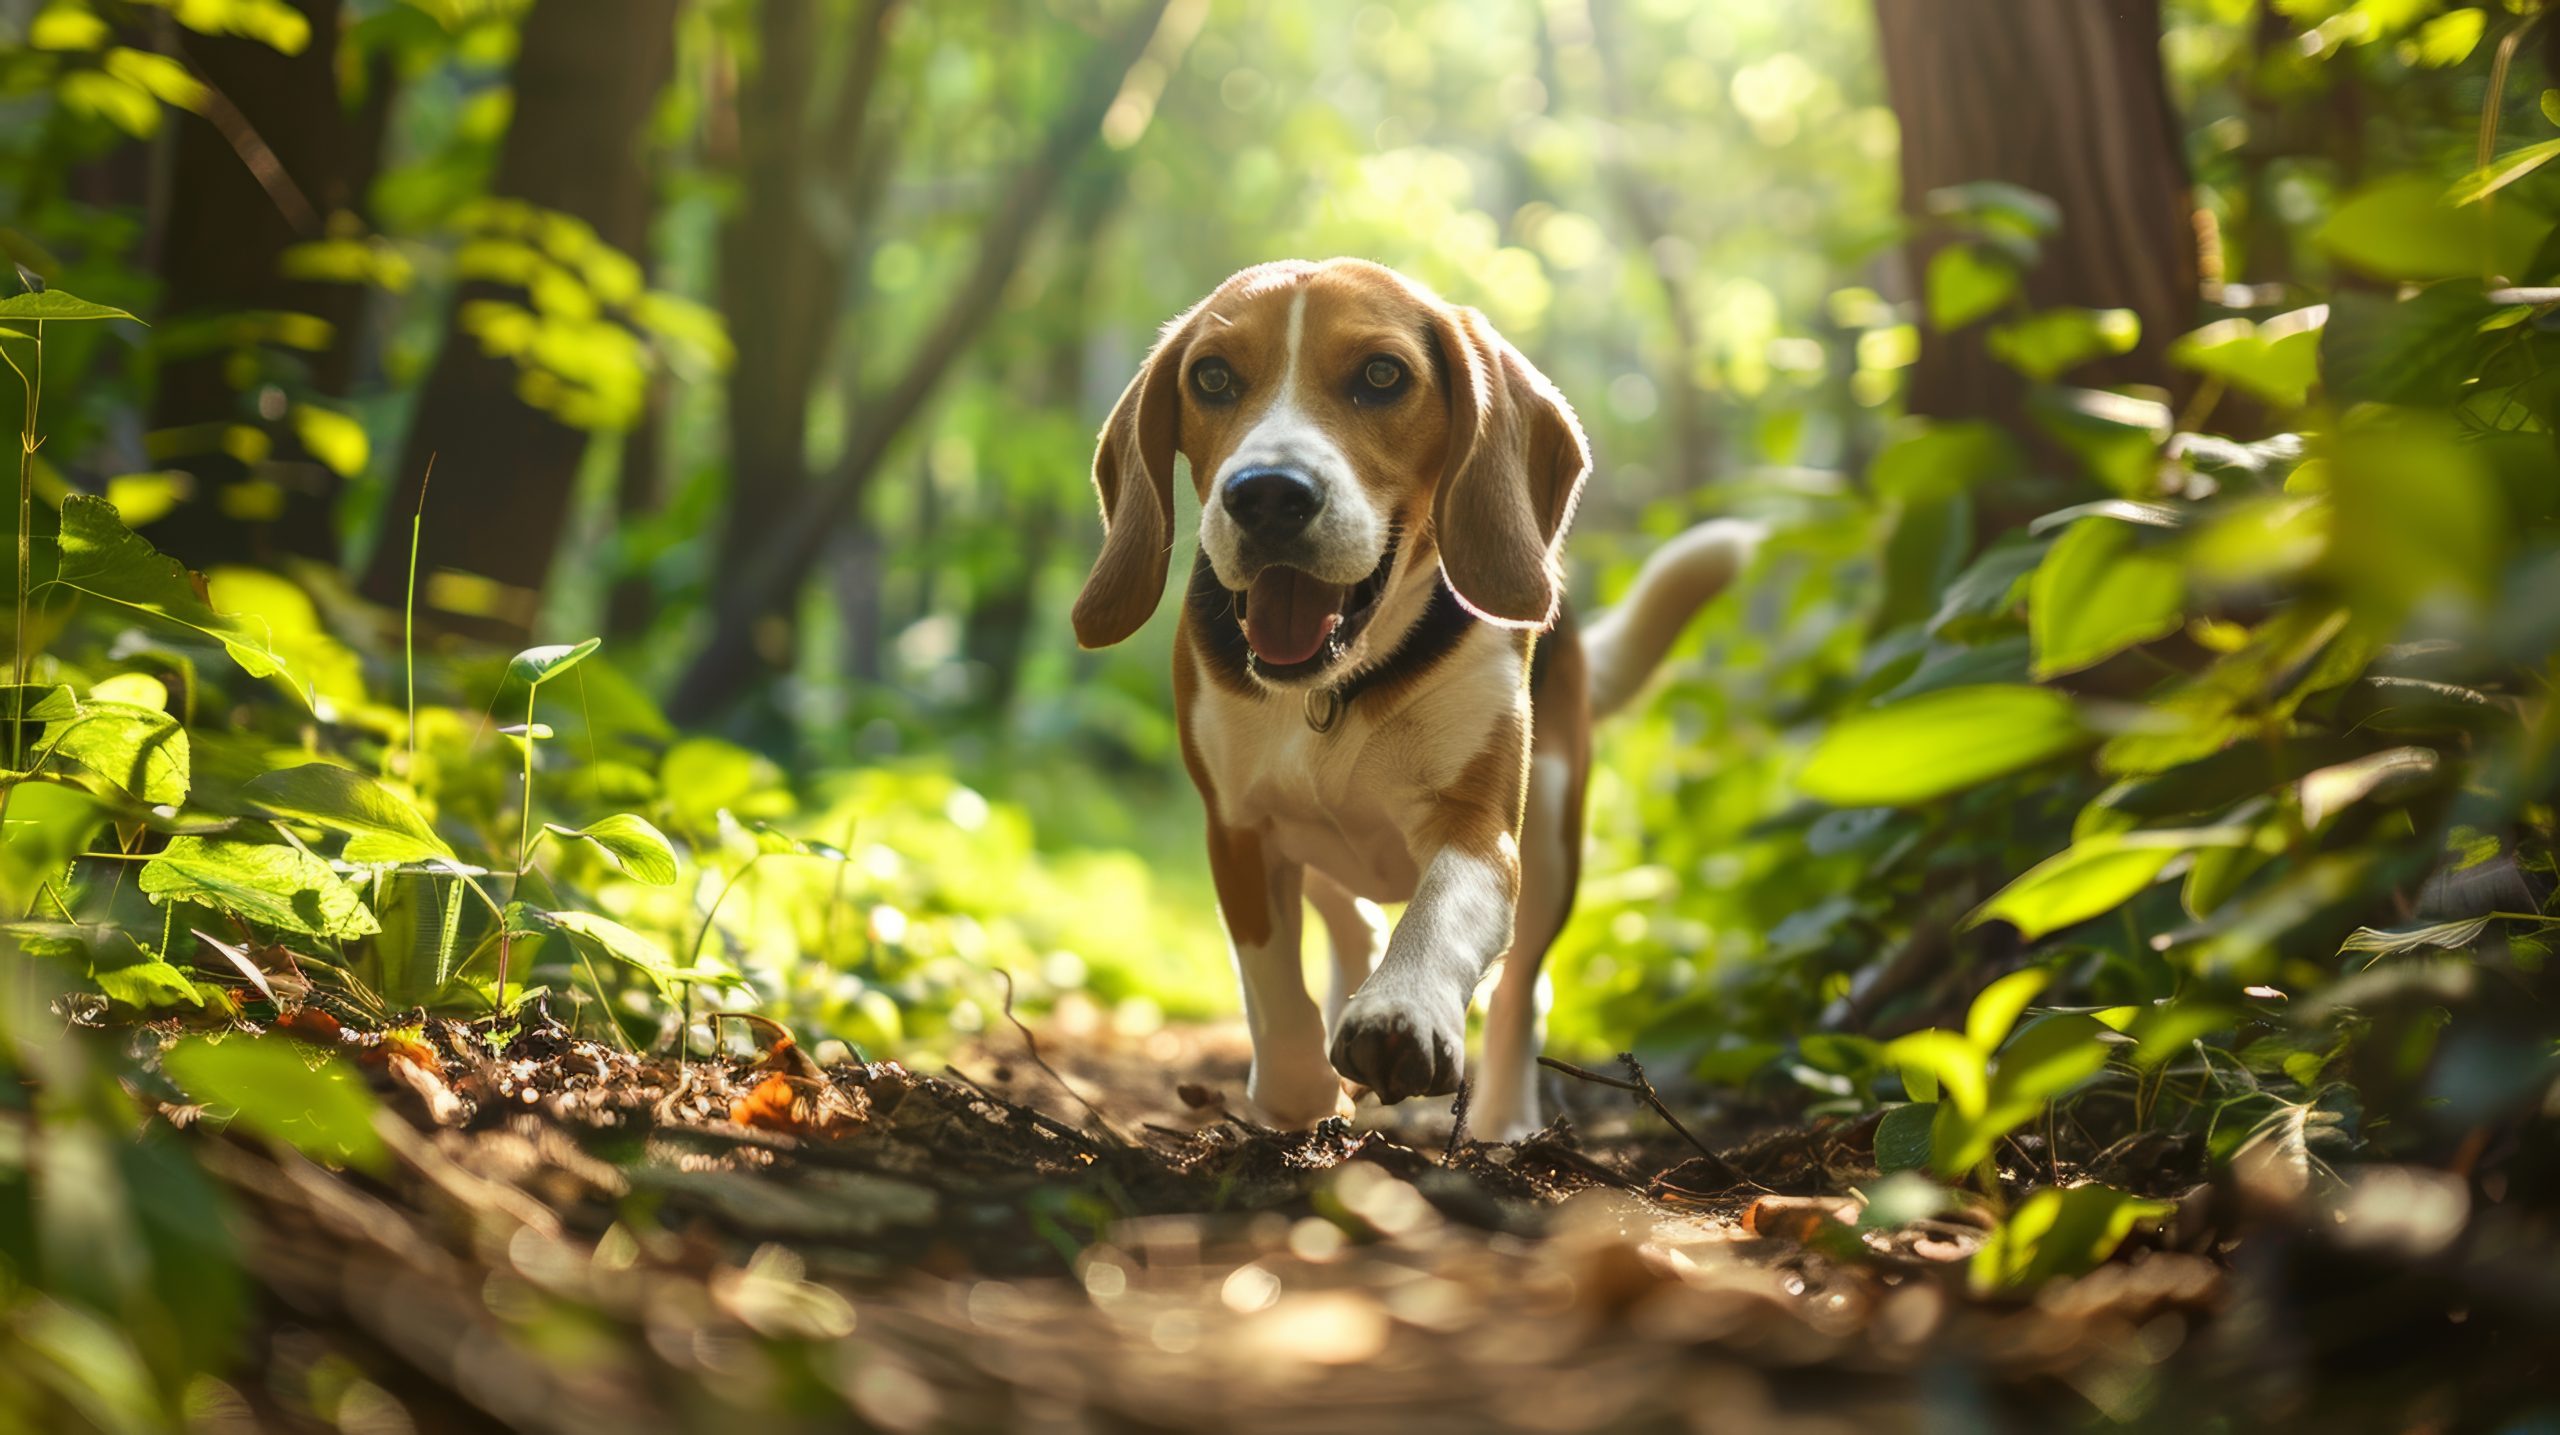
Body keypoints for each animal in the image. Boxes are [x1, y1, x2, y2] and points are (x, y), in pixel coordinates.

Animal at [1064, 251, 1761, 1135]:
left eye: (1382, 375)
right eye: (1213, 377)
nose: (1266, 493)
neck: (1335, 686)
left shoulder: (1480, 828)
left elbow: (1442, 911)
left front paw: (1400, 1012)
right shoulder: (1239, 828)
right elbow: (1273, 994)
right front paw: (1305, 1088)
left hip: (1553, 835)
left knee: (1523, 988)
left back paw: (1504, 1117)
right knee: (1350, 914)